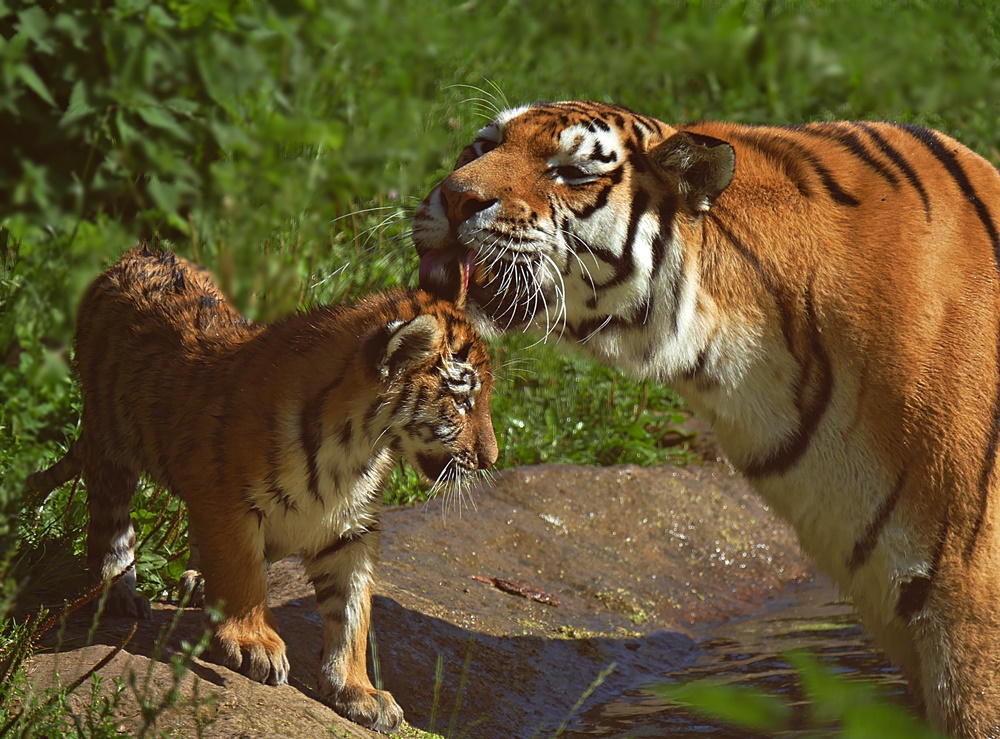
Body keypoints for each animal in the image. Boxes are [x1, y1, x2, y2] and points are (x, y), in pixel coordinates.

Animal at [29, 246, 498, 732]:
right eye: (462, 401)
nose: (491, 459)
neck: (357, 448)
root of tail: (144, 251)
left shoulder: (351, 532)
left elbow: (353, 614)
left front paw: (358, 691)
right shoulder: (229, 502)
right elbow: (244, 574)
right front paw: (253, 643)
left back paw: (195, 583)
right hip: (111, 446)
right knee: (111, 526)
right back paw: (121, 594)